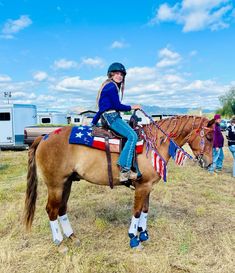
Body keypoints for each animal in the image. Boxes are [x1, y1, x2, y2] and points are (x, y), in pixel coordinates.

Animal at [23, 113, 215, 250]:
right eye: (210, 138)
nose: (209, 163)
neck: (153, 144)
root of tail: (44, 137)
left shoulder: (148, 186)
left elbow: (145, 209)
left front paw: (143, 234)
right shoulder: (142, 186)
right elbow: (137, 211)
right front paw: (133, 239)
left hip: (67, 183)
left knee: (62, 209)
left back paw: (73, 237)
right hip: (55, 185)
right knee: (51, 210)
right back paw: (60, 243)